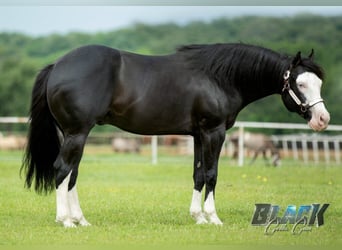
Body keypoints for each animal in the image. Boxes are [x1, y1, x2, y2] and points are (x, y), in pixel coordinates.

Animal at [20, 43, 328, 227]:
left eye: (319, 83)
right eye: (300, 83)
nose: (322, 119)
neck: (219, 77)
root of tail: (57, 65)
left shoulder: (198, 135)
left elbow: (198, 174)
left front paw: (198, 217)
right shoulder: (214, 132)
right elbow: (212, 174)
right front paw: (213, 218)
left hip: (72, 134)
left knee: (71, 174)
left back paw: (80, 220)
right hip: (77, 133)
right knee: (62, 170)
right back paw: (65, 220)